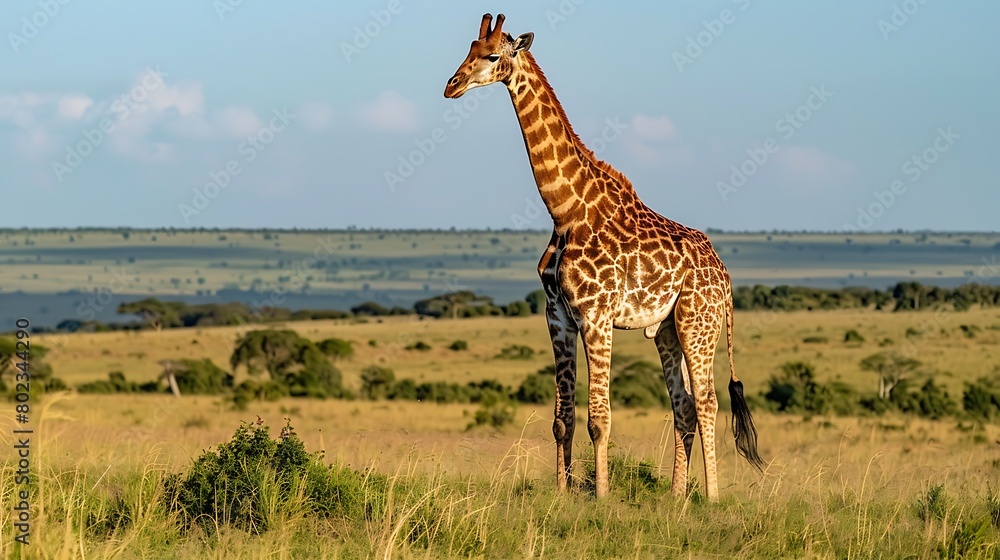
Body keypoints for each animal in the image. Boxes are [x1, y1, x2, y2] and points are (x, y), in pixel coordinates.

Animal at [444, 13, 764, 499]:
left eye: (493, 55)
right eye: (467, 50)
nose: (452, 85)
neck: (565, 209)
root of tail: (725, 277)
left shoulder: (596, 316)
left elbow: (600, 418)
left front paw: (602, 495)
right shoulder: (557, 314)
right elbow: (563, 418)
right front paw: (563, 493)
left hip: (699, 323)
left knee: (708, 402)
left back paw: (710, 496)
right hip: (668, 329)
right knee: (685, 406)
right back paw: (676, 497)